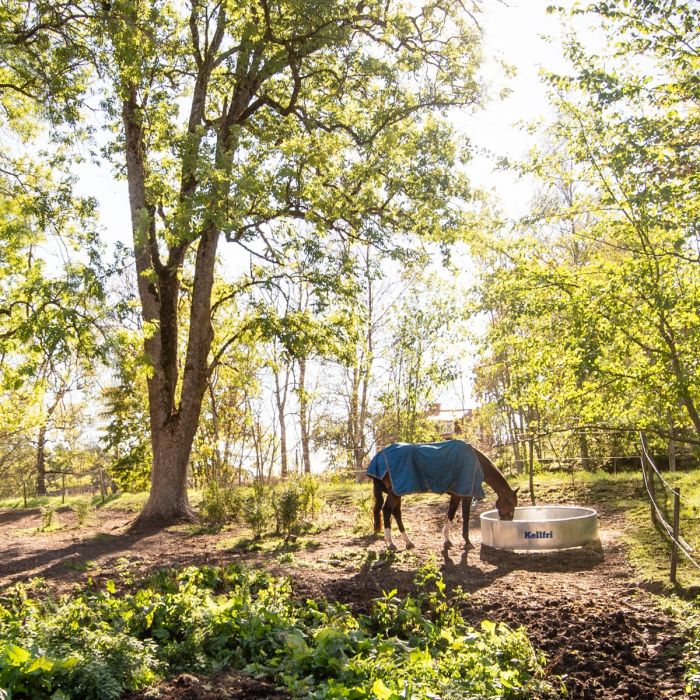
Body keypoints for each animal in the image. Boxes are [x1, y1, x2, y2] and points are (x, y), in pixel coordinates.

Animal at [370, 440, 516, 548]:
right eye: (512, 506)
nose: (508, 524)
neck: (476, 462)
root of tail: (379, 455)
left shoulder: (457, 494)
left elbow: (451, 513)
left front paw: (447, 540)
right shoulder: (466, 494)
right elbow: (465, 516)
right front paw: (467, 541)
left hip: (397, 492)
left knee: (396, 513)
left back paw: (408, 542)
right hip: (395, 493)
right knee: (387, 510)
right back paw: (390, 543)